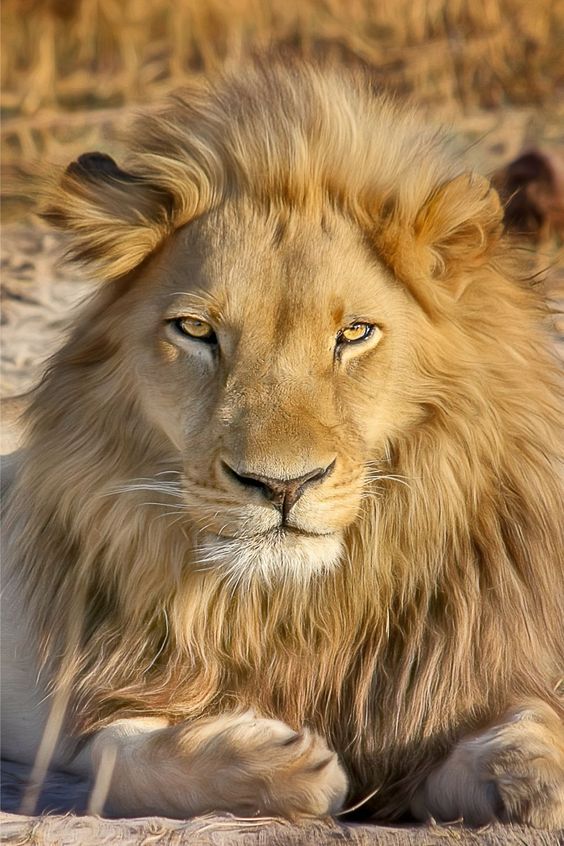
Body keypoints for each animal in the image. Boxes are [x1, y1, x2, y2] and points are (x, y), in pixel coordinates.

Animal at [2, 56, 563, 828]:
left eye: (354, 333)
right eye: (196, 331)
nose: (281, 486)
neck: (295, 606)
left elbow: (524, 721)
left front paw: (535, 770)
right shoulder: (94, 695)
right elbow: (124, 753)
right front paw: (282, 764)